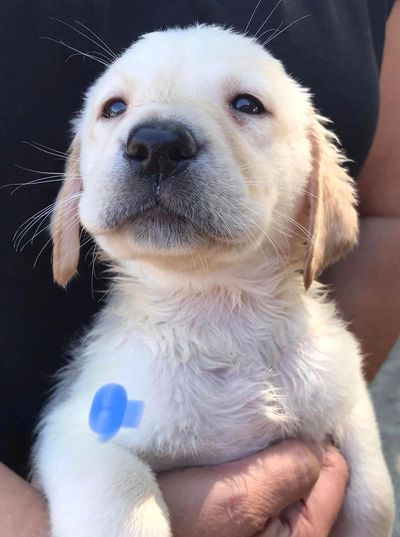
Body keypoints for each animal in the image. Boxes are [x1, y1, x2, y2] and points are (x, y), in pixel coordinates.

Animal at [32, 25, 396, 536]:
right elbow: (121, 494)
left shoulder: (346, 399)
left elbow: (372, 495)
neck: (223, 314)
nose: (156, 145)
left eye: (247, 104)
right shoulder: (77, 430)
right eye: (114, 108)